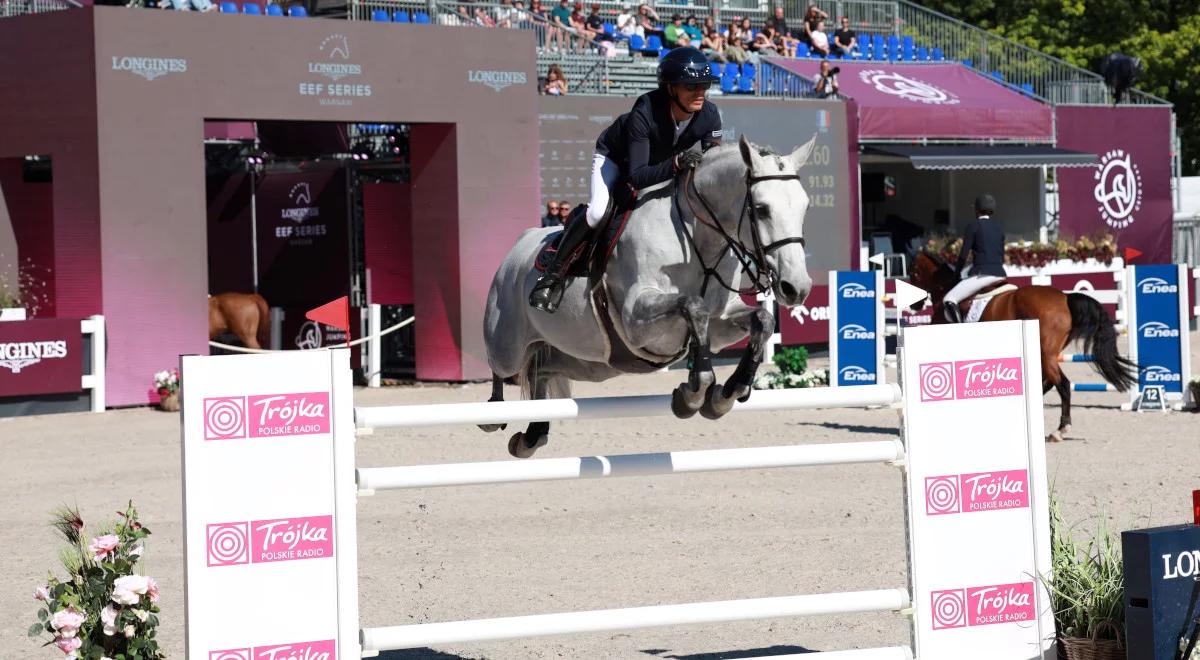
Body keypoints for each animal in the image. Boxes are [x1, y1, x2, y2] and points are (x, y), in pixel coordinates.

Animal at [907, 250, 1132, 441]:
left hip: (1045, 354)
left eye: (913, 273)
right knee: (1048, 382)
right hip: (1046, 354)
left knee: (1063, 384)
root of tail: (1065, 298)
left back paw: (1059, 430)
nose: (914, 306)